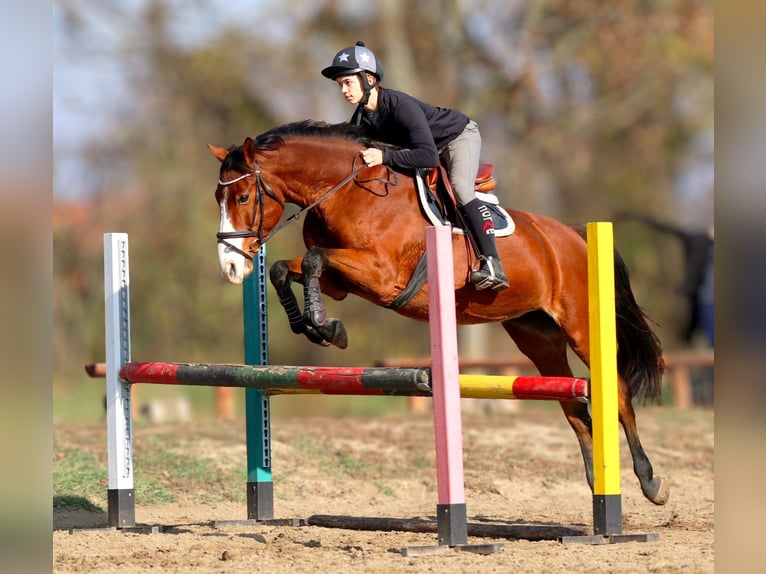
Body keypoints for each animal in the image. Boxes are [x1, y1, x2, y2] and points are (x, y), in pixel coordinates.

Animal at [208, 119, 669, 506]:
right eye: (218, 197)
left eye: (243, 196)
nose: (230, 267)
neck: (348, 193)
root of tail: (576, 235)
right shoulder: (344, 282)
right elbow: (286, 268)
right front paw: (318, 327)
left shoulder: (380, 274)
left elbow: (315, 258)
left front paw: (323, 326)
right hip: (537, 337)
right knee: (574, 407)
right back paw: (596, 483)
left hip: (582, 326)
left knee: (618, 393)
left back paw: (649, 483)